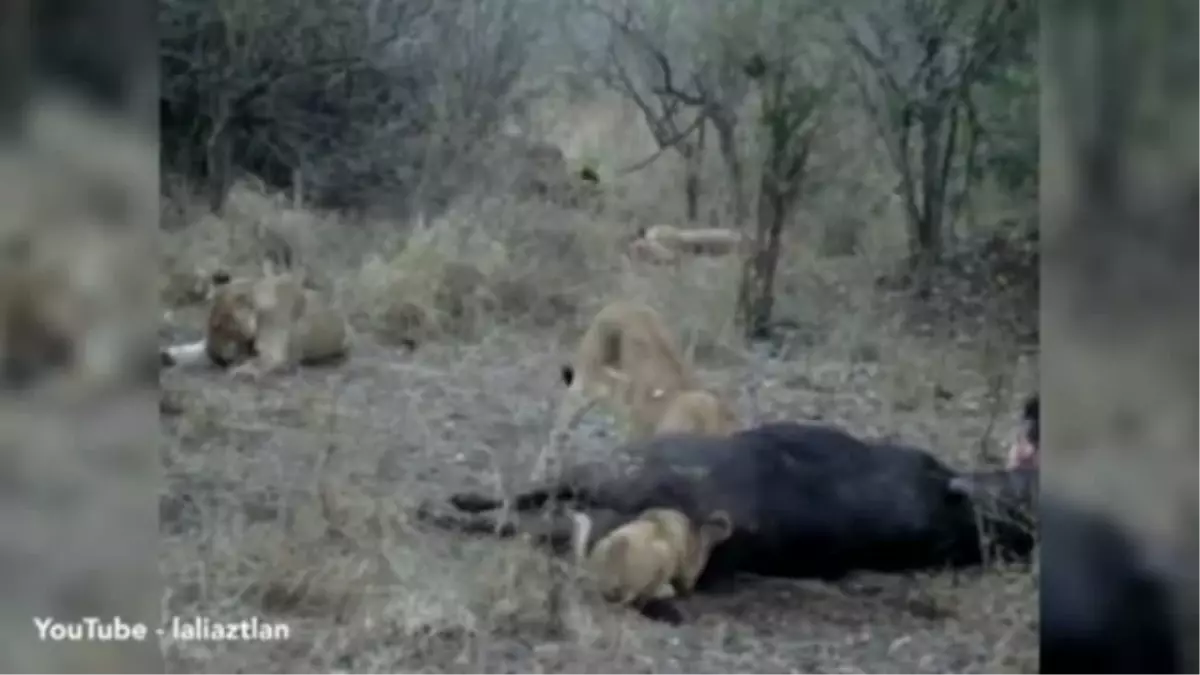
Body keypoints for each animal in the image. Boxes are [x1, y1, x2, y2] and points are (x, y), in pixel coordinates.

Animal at [159, 261, 350, 379]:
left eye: (220, 325)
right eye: (212, 325)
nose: (215, 357)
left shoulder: (273, 354)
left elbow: (256, 362)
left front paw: (239, 370)